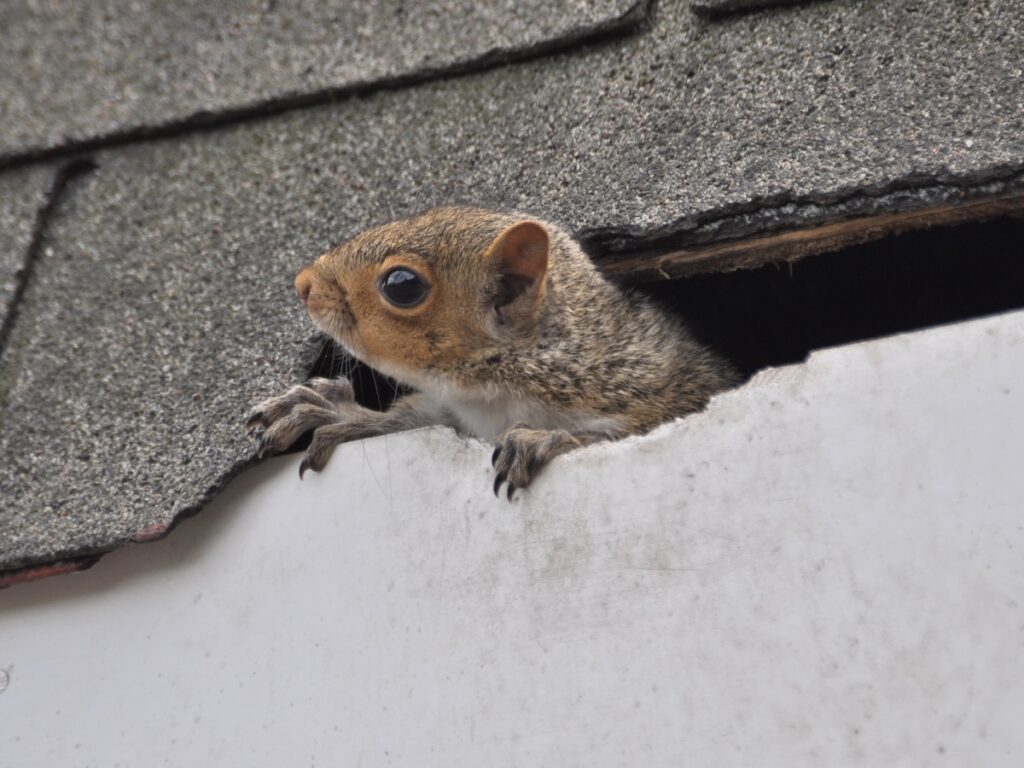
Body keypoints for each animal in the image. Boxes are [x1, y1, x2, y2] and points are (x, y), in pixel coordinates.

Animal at [246, 207, 739, 499]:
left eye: (402, 285)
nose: (304, 284)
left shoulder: (647, 391)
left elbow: (621, 435)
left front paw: (543, 439)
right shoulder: (453, 414)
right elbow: (403, 419)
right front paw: (327, 411)